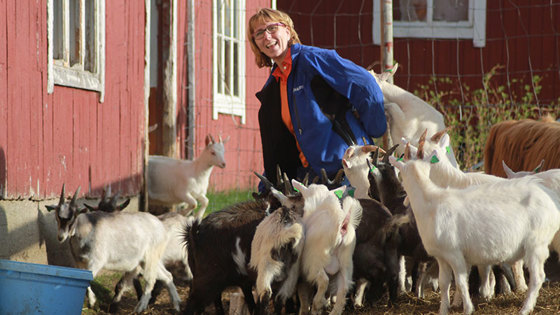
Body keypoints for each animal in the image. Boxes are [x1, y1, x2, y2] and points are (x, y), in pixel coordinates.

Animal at [46, 185, 182, 314]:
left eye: (73, 217)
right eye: (57, 216)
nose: (61, 237)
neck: (89, 228)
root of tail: (161, 225)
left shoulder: (96, 261)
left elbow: (89, 280)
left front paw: (93, 302)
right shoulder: (79, 263)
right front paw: (92, 302)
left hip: (150, 258)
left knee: (151, 279)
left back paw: (140, 308)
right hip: (149, 261)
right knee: (167, 276)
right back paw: (177, 305)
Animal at [290, 180, 360, 315]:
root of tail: (342, 225)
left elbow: (303, 296)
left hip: (315, 260)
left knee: (323, 280)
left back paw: (317, 305)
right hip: (346, 262)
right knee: (343, 287)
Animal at [390, 152, 560, 314]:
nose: (402, 195)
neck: (431, 204)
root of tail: (549, 197)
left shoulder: (455, 253)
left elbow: (460, 282)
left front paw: (467, 309)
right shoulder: (442, 256)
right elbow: (444, 283)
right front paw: (443, 309)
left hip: (537, 243)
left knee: (538, 277)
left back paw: (525, 308)